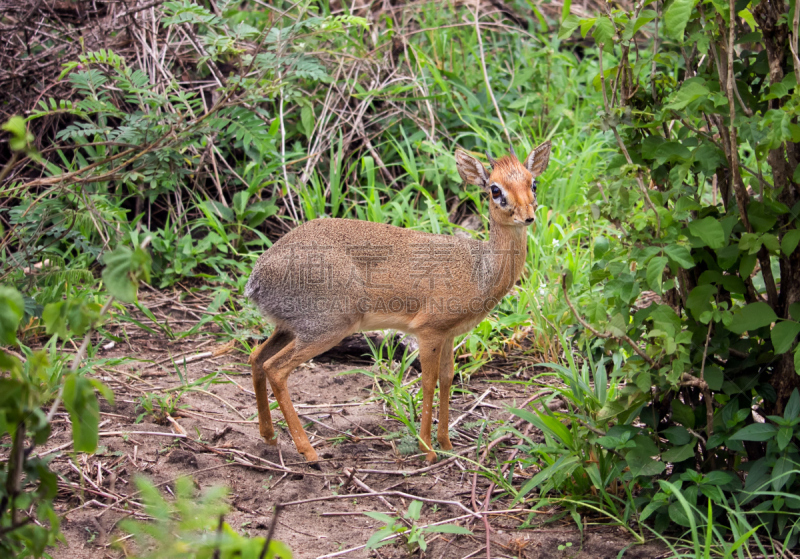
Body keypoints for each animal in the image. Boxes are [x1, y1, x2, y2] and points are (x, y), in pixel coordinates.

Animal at [247, 141, 552, 464]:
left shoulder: (448, 335)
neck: (480, 270)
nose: (527, 215)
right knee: (276, 369)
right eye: (495, 189)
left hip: (288, 327)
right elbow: (428, 381)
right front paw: (427, 449)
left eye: (532, 182)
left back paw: (269, 436)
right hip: (326, 327)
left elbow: (447, 379)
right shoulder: (429, 331)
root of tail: (256, 279)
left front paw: (446, 444)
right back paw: (308, 450)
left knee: (256, 357)